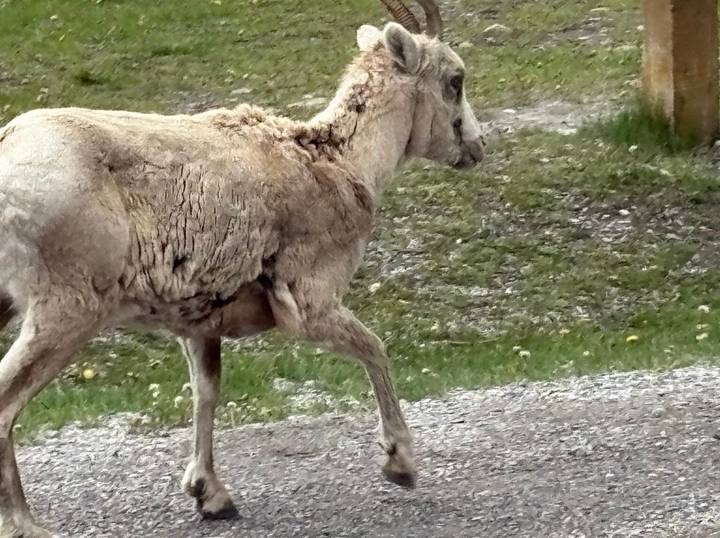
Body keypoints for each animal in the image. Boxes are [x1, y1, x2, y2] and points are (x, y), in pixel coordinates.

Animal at [0, 1, 484, 535]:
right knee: (4, 407)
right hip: (64, 312)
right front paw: (401, 465)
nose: (477, 147)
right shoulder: (310, 304)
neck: (338, 163)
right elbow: (374, 349)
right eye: (455, 80)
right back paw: (24, 523)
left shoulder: (198, 325)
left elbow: (205, 392)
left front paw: (211, 497)